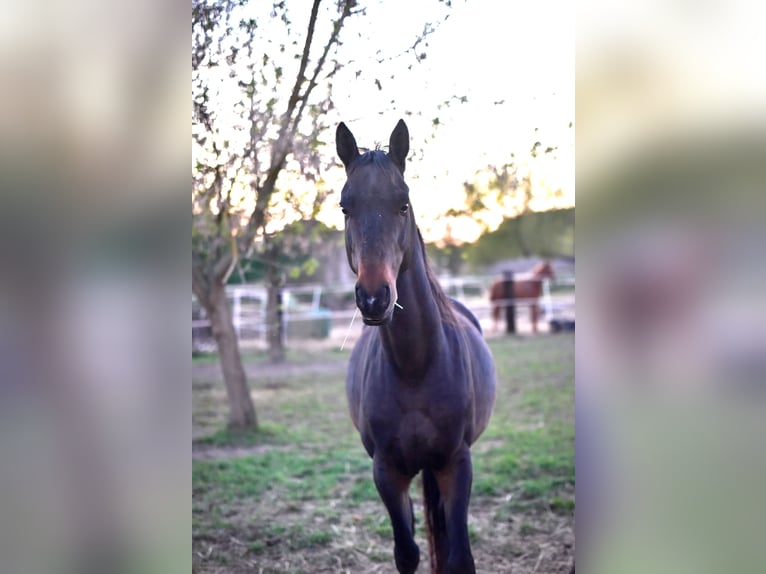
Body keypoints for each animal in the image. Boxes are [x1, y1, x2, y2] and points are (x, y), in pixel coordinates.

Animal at [336, 120, 496, 574]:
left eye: (403, 205)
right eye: (345, 208)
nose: (374, 298)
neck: (415, 367)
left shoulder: (456, 464)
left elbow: (459, 557)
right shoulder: (387, 472)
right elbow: (406, 552)